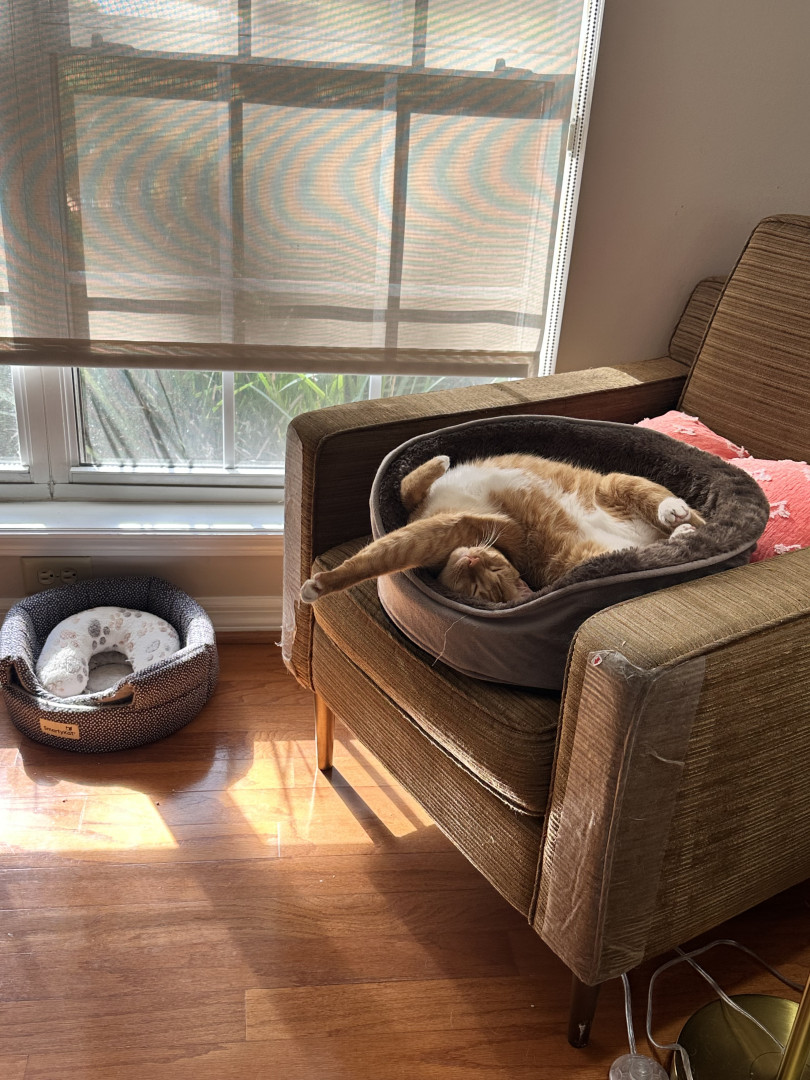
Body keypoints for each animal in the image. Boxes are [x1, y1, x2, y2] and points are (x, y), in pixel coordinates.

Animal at [300, 452, 705, 605]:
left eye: (489, 583)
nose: (472, 559)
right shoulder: (422, 508)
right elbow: (406, 486)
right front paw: (438, 462)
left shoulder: (440, 529)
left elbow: (380, 555)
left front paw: (320, 586)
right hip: (608, 499)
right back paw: (678, 528)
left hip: (608, 503)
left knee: (679, 516)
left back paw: (677, 520)